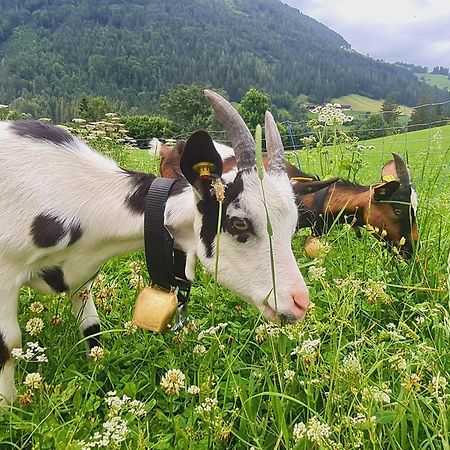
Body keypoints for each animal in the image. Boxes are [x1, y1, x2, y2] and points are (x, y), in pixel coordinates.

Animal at [0, 91, 310, 404]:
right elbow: (9, 343)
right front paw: (11, 406)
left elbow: (91, 327)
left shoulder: (83, 276)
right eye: (239, 223)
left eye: (293, 225)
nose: (300, 302)